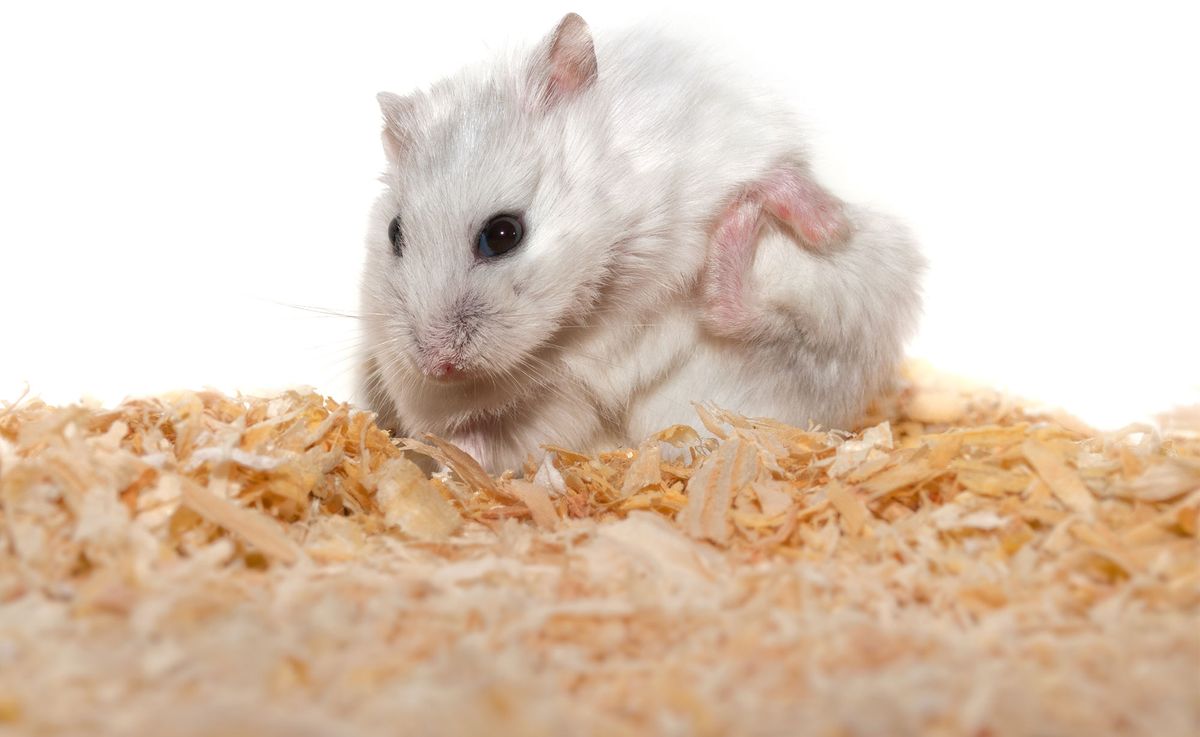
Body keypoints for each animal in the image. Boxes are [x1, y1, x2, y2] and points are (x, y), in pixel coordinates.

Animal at [358, 13, 924, 473]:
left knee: (769, 323)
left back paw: (779, 218)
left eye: (502, 235)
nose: (437, 367)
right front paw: (452, 455)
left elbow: (779, 169)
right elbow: (475, 431)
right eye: (394, 234)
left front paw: (822, 221)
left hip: (855, 280)